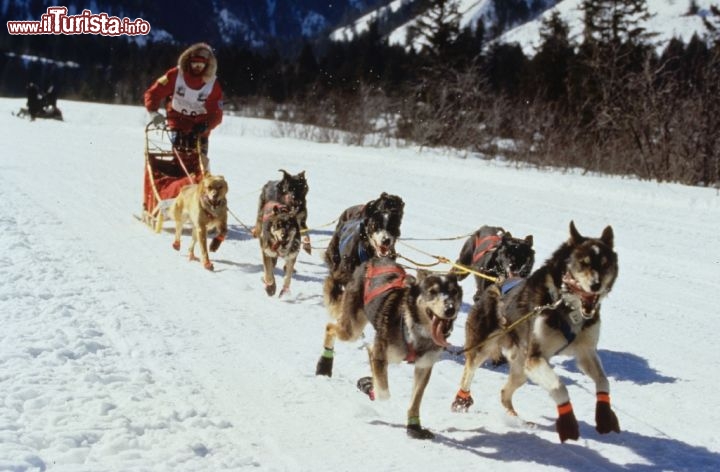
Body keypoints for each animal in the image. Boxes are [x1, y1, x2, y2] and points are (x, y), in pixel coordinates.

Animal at [316, 256, 462, 440]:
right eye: (432, 291)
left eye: (454, 292)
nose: (450, 309)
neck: (414, 328)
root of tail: (373, 259)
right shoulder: (379, 353)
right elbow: (383, 392)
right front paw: (371, 388)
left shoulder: (424, 366)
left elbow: (415, 400)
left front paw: (414, 427)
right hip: (351, 330)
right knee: (330, 327)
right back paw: (324, 365)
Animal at [450, 221, 620, 442]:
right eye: (583, 263)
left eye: (605, 264)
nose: (596, 285)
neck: (565, 305)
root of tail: (495, 286)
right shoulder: (536, 358)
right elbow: (559, 387)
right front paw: (568, 423)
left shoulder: (585, 352)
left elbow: (603, 381)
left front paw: (604, 416)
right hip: (485, 348)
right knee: (468, 373)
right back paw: (461, 401)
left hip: (522, 369)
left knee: (504, 393)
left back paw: (515, 418)